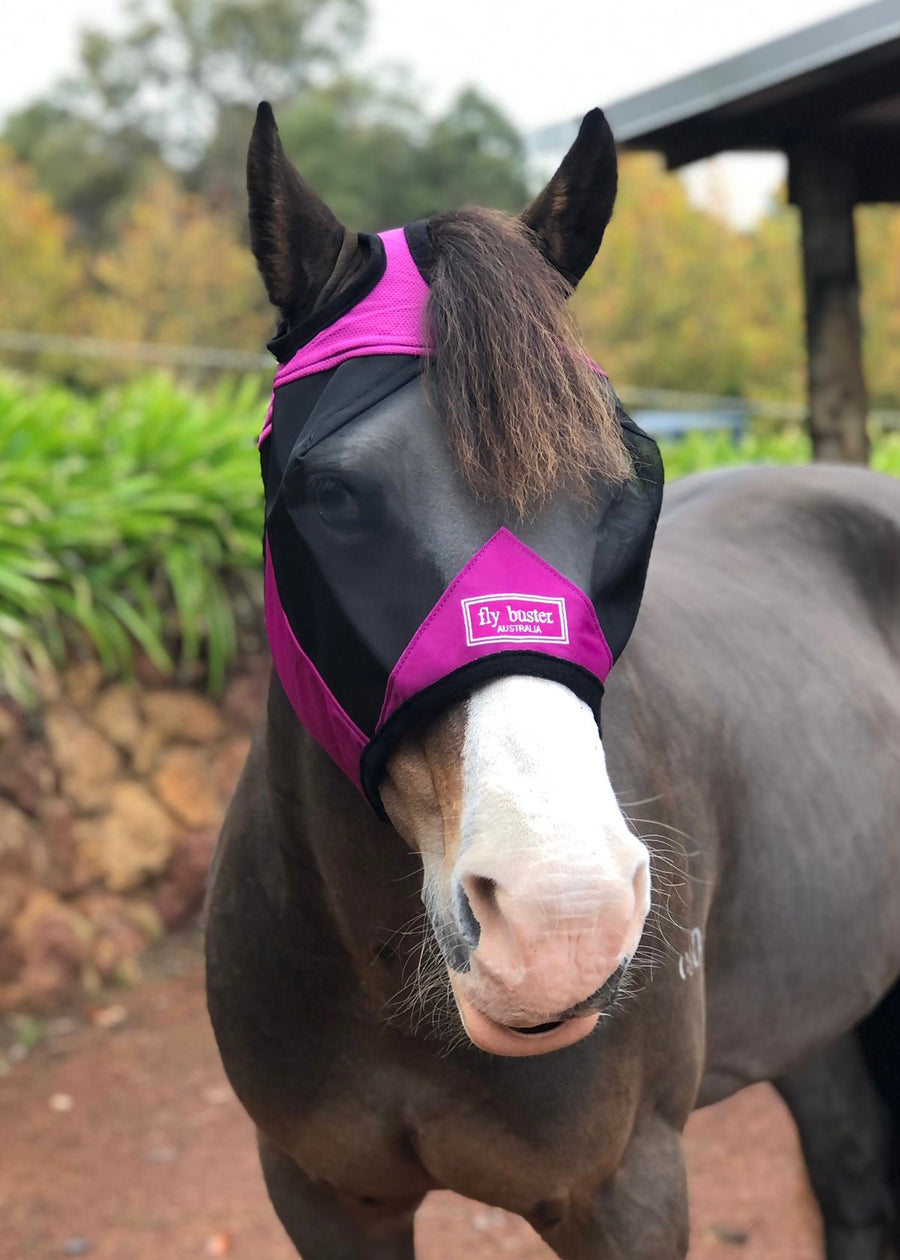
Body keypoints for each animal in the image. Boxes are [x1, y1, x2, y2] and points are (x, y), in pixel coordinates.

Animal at [206, 100, 897, 1260]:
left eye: (631, 484)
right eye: (332, 495)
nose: (562, 918)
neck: (391, 990)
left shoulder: (627, 1192)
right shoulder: (321, 1194)